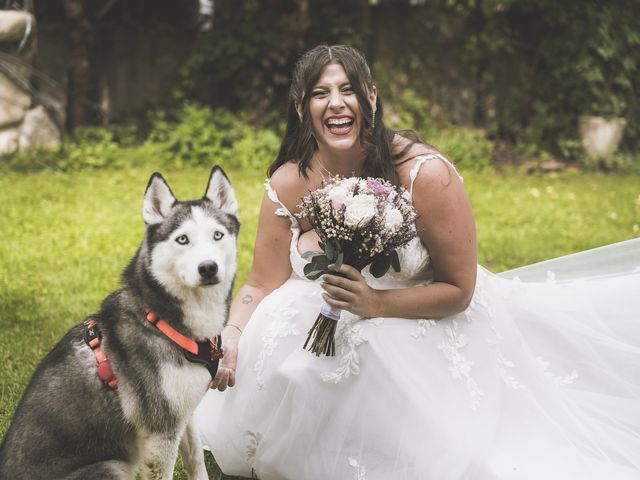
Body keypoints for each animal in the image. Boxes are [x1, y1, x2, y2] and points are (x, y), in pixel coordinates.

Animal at [0, 166, 240, 480]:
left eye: (217, 235)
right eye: (182, 240)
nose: (208, 267)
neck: (160, 318)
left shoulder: (183, 414)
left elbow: (196, 460)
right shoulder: (161, 432)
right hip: (111, 467)